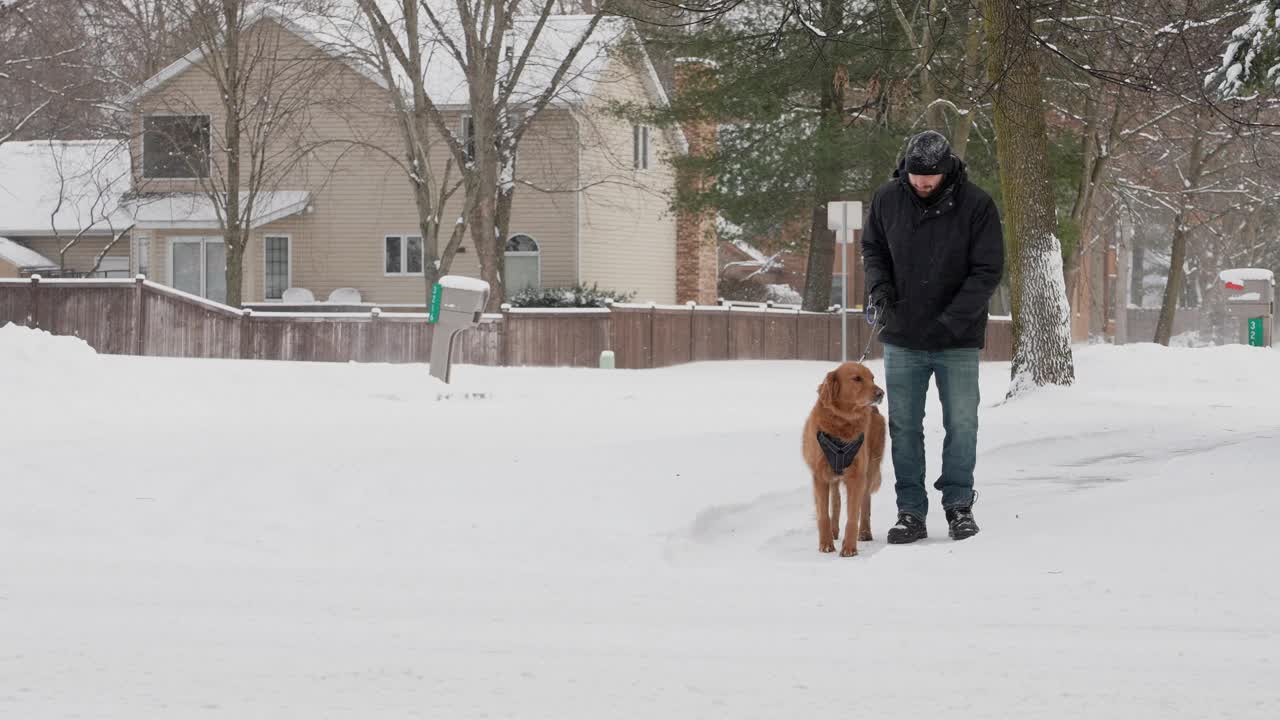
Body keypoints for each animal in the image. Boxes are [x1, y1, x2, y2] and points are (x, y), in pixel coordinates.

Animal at [803, 358, 885, 556]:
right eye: (857, 379)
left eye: (872, 378)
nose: (881, 393)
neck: (842, 422)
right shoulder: (820, 476)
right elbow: (824, 514)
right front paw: (825, 544)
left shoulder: (856, 476)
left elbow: (853, 515)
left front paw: (849, 548)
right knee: (836, 500)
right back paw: (833, 531)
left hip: (870, 469)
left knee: (865, 502)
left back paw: (865, 532)